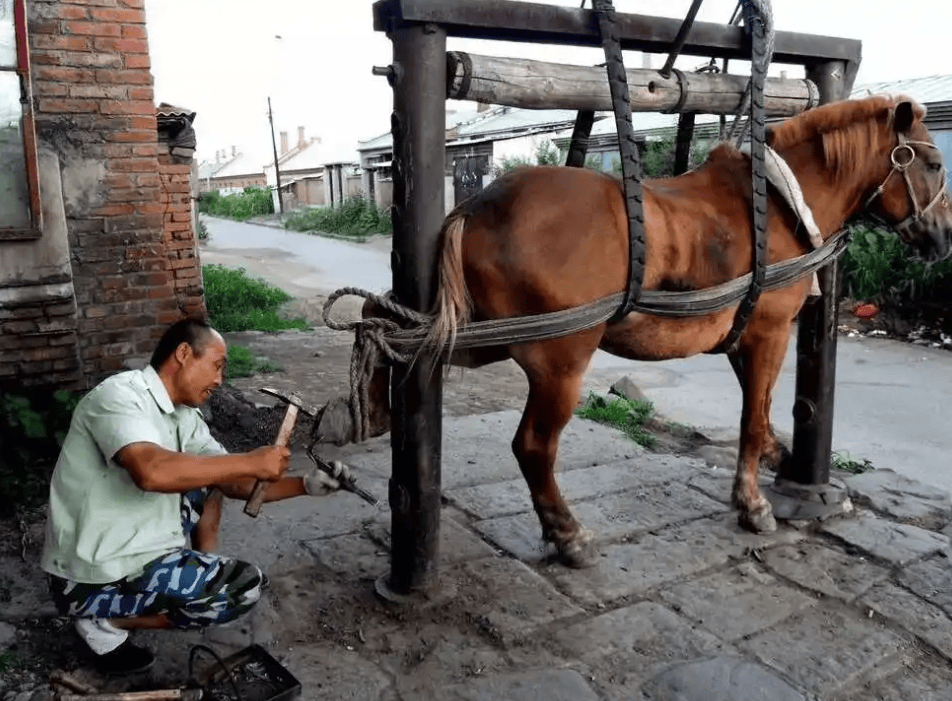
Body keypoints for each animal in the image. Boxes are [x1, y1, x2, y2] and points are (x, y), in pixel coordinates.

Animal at [356, 93, 952, 568]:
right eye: (935, 162)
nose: (944, 237)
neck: (781, 203)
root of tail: (478, 206)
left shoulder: (742, 335)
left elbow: (758, 408)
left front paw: (775, 454)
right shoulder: (770, 332)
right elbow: (750, 416)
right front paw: (752, 503)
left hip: (484, 336)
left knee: (401, 343)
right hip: (559, 362)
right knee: (533, 447)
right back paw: (567, 534)